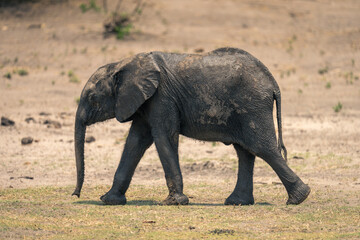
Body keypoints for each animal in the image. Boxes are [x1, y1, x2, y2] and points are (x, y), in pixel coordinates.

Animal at [72, 47, 310, 205]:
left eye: (93, 98)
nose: (75, 194)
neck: (123, 63)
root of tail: (273, 83)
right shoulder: (145, 101)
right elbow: (135, 142)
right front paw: (109, 200)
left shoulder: (162, 97)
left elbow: (163, 137)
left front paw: (174, 202)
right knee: (245, 151)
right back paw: (237, 202)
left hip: (252, 106)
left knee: (263, 148)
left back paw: (298, 198)